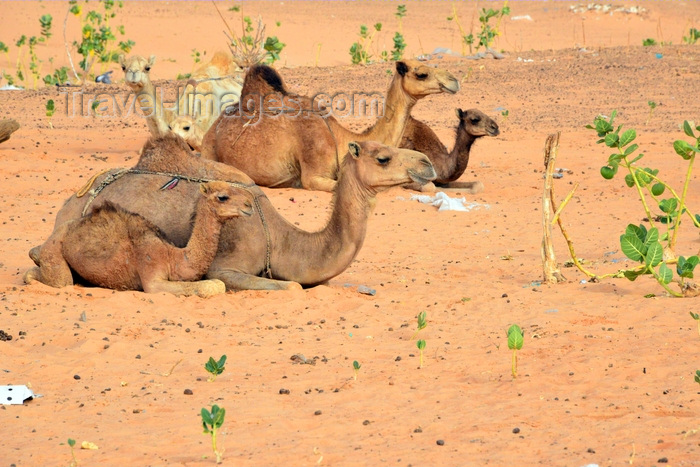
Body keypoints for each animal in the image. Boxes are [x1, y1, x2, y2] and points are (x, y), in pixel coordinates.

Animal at [24, 181, 254, 298]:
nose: (250, 204)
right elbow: (213, 285)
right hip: (55, 249)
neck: (173, 256)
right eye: (222, 197)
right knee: (56, 280)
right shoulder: (151, 274)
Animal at [198, 60, 460, 192]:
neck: (340, 138)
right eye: (422, 74)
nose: (454, 81)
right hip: (210, 152)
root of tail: (212, 128)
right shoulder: (315, 175)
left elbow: (427, 187)